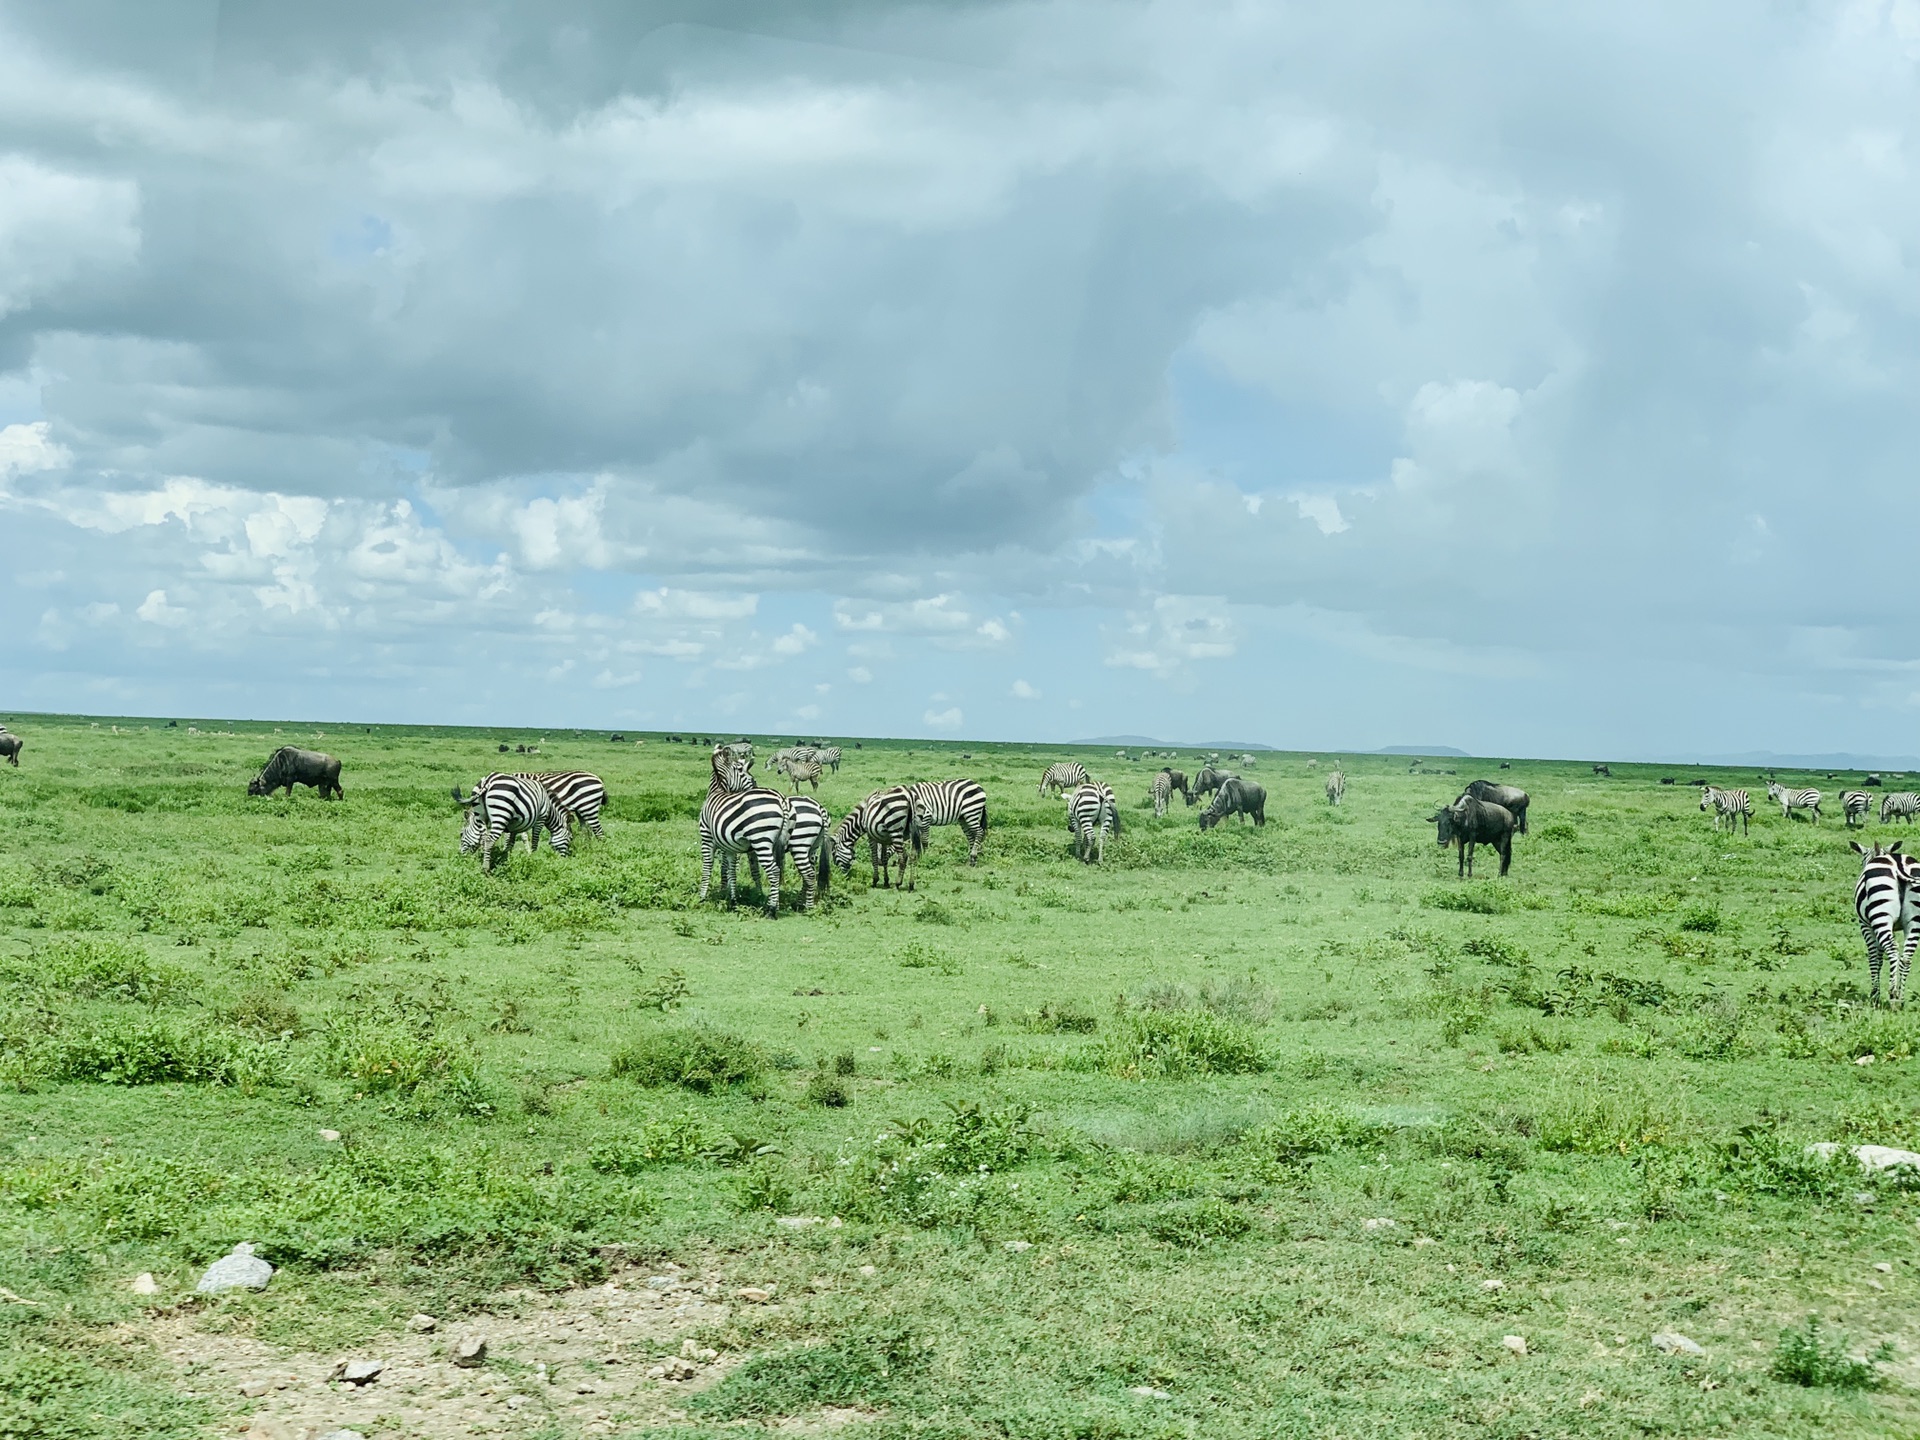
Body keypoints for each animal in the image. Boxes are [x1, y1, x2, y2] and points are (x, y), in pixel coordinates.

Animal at [695, 748, 791, 917]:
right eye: (749, 777)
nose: (755, 784)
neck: (717, 790)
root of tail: (781, 799)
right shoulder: (730, 847)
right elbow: (731, 871)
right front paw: (733, 901)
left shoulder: (706, 838)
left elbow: (707, 867)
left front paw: (702, 898)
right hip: (775, 843)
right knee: (778, 870)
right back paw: (775, 905)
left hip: (761, 840)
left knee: (774, 871)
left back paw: (771, 910)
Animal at [1850, 840, 1912, 1006]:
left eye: (1862, 862)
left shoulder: (1866, 925)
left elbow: (1874, 956)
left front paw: (1874, 995)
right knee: (1906, 956)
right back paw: (1901, 998)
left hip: (1881, 916)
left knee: (1892, 948)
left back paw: (1893, 993)